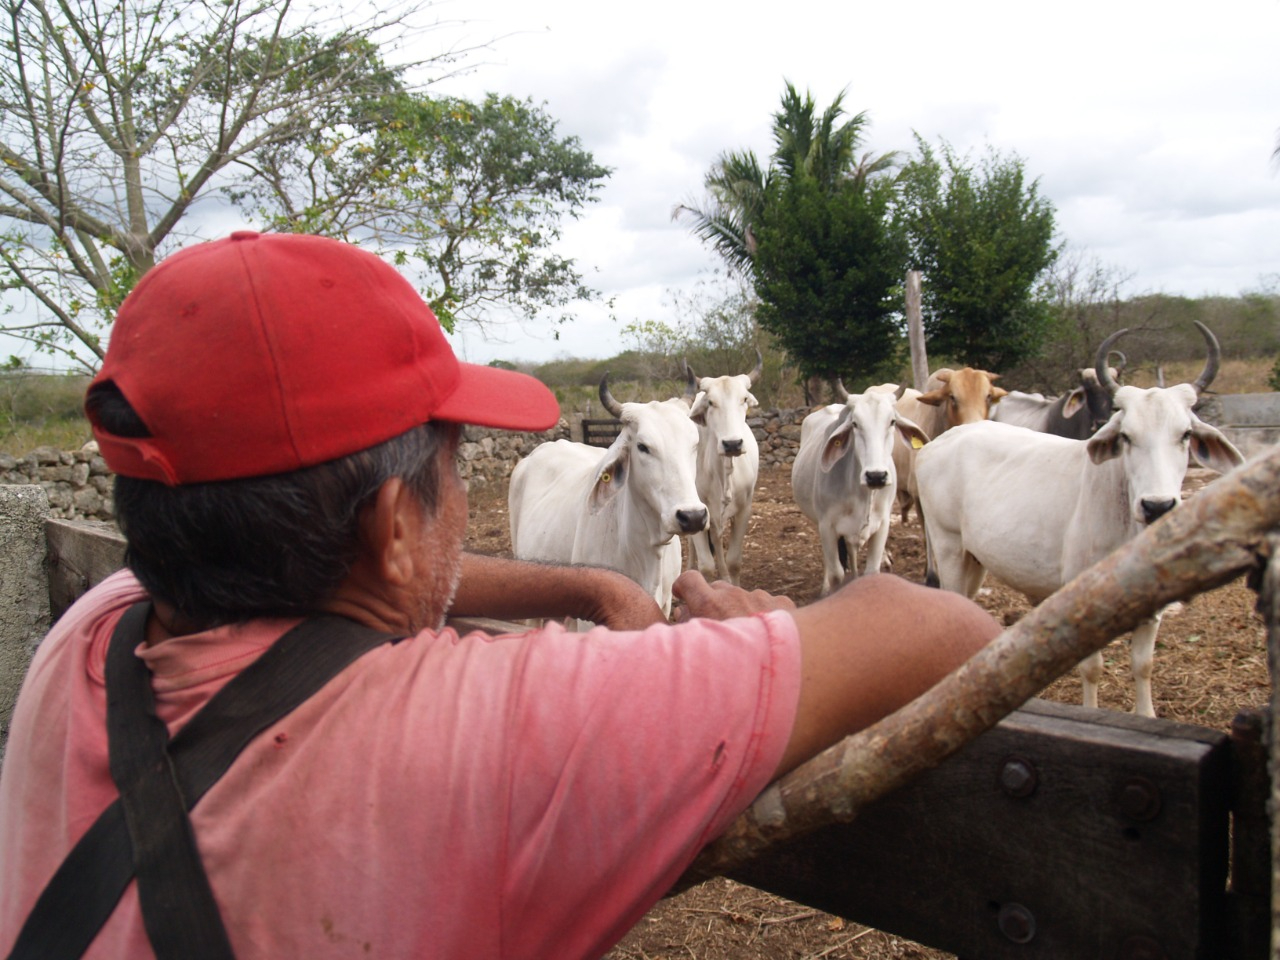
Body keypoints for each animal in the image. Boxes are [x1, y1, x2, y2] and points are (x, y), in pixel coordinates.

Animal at [691, 350, 757, 583]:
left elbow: (734, 561)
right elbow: (706, 566)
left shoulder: (744, 509)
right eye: (711, 402)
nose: (732, 444)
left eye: (744, 399)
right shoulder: (697, 511)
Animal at [788, 386, 931, 599]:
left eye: (892, 421)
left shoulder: (882, 525)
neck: (861, 494)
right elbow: (836, 573)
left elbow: (871, 571)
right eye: (855, 424)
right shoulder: (827, 526)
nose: (876, 476)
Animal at [916, 321, 1244, 716]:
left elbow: (1144, 665)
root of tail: (943, 440)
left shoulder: (1153, 609)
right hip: (947, 546)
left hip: (974, 558)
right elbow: (1092, 669)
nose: (1157, 507)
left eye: (1186, 435)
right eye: (1126, 436)